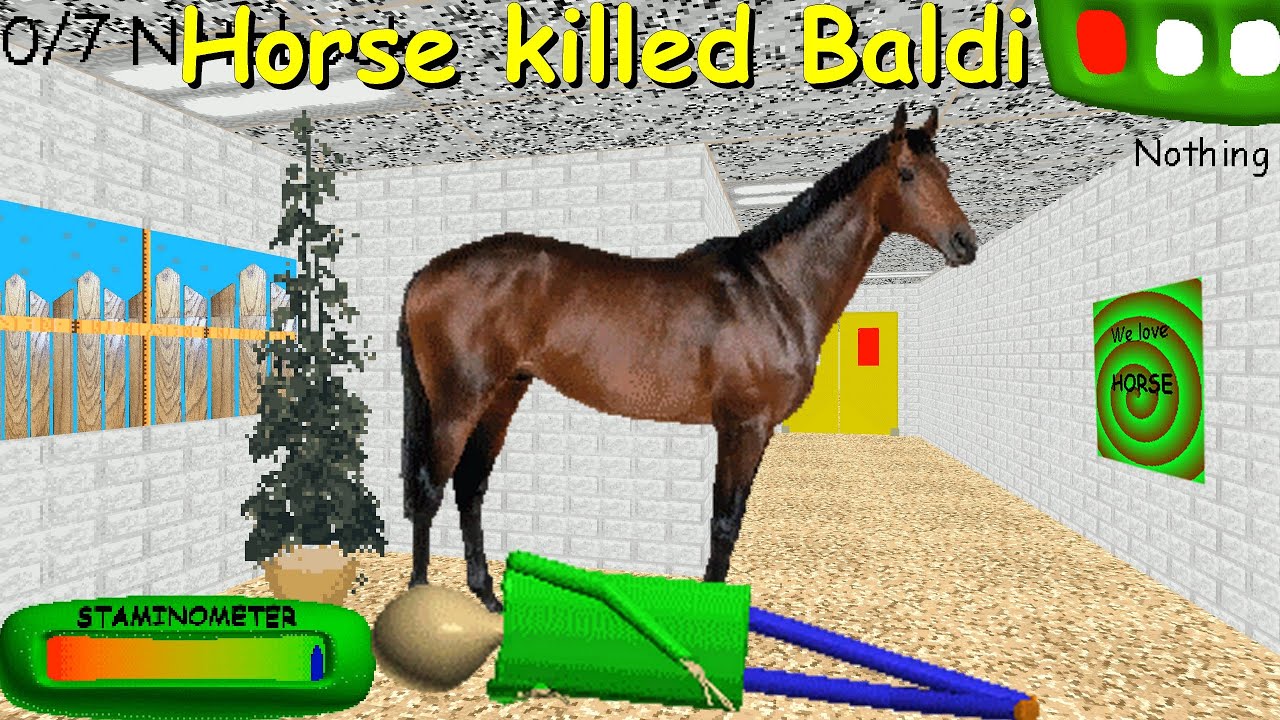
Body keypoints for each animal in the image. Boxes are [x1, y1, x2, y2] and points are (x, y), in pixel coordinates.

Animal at [398, 104, 978, 612]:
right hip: (457, 402)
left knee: (469, 486)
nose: (965, 243)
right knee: (430, 488)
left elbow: (732, 520)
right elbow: (724, 523)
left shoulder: (755, 430)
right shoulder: (742, 425)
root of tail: (426, 274)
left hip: (503, 392)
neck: (774, 289)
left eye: (945, 171)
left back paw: (487, 595)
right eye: (907, 173)